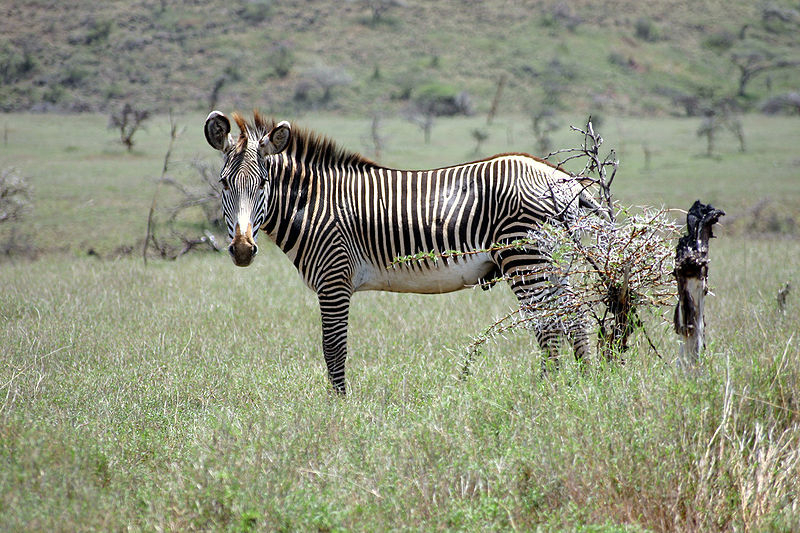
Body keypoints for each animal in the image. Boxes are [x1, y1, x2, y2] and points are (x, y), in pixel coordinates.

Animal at [204, 110, 597, 394]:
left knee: (549, 326)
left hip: (526, 259)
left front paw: (339, 407)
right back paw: (585, 387)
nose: (242, 250)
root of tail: (565, 180)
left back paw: (546, 392)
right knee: (575, 318)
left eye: (263, 184)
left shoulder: (334, 279)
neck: (313, 205)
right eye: (223, 183)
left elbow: (333, 348)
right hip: (553, 261)